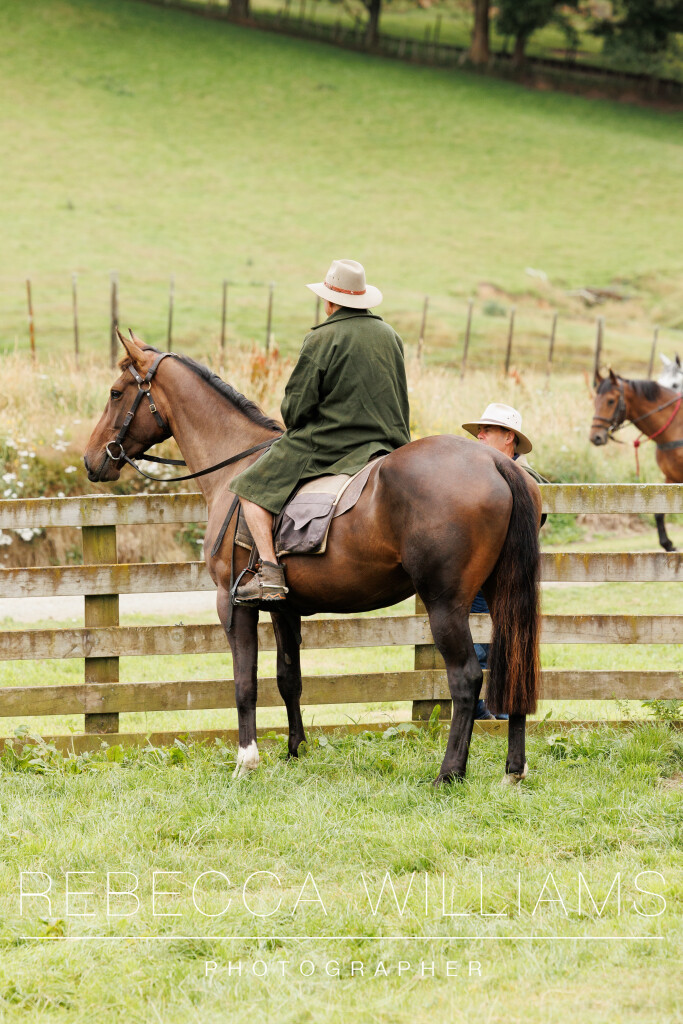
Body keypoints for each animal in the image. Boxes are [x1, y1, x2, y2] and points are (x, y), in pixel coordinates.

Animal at [84, 330, 542, 785]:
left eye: (115, 393)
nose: (91, 461)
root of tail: (495, 463)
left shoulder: (232, 605)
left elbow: (245, 683)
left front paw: (247, 759)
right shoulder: (283, 608)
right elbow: (289, 678)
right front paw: (295, 751)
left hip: (446, 604)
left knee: (466, 679)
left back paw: (449, 774)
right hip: (500, 596)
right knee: (515, 670)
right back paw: (513, 770)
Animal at [590, 368, 683, 553]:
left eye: (611, 401)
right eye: (595, 400)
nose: (595, 436)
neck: (676, 426)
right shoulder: (671, 477)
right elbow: (659, 512)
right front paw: (667, 543)